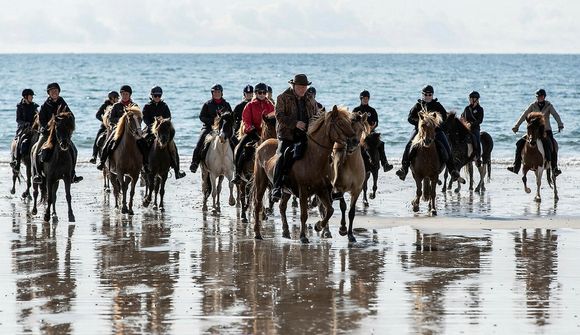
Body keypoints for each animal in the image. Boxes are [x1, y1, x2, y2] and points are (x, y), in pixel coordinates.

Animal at [254, 105, 358, 244]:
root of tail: (262, 144)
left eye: (349, 122)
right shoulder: (303, 190)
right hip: (261, 183)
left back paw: (285, 232)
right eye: (341, 123)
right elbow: (304, 214)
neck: (313, 158)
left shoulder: (321, 189)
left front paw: (318, 226)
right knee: (257, 204)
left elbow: (329, 210)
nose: (355, 141)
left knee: (282, 206)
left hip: (286, 190)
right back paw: (257, 233)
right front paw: (303, 236)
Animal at [326, 111, 372, 243]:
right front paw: (342, 229)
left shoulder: (357, 189)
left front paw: (351, 235)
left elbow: (351, 212)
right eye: (348, 126)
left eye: (361, 129)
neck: (351, 165)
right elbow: (343, 206)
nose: (353, 143)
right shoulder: (339, 188)